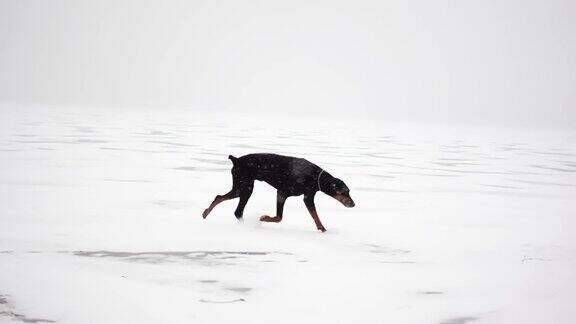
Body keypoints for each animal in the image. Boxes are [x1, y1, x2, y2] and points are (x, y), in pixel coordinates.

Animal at [202, 153, 356, 232]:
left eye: (349, 191)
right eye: (344, 192)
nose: (353, 204)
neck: (315, 177)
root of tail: (236, 160)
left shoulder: (308, 196)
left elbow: (315, 216)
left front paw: (323, 230)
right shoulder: (282, 193)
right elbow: (279, 217)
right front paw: (264, 218)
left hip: (244, 188)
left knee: (230, 206)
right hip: (244, 187)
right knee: (226, 202)